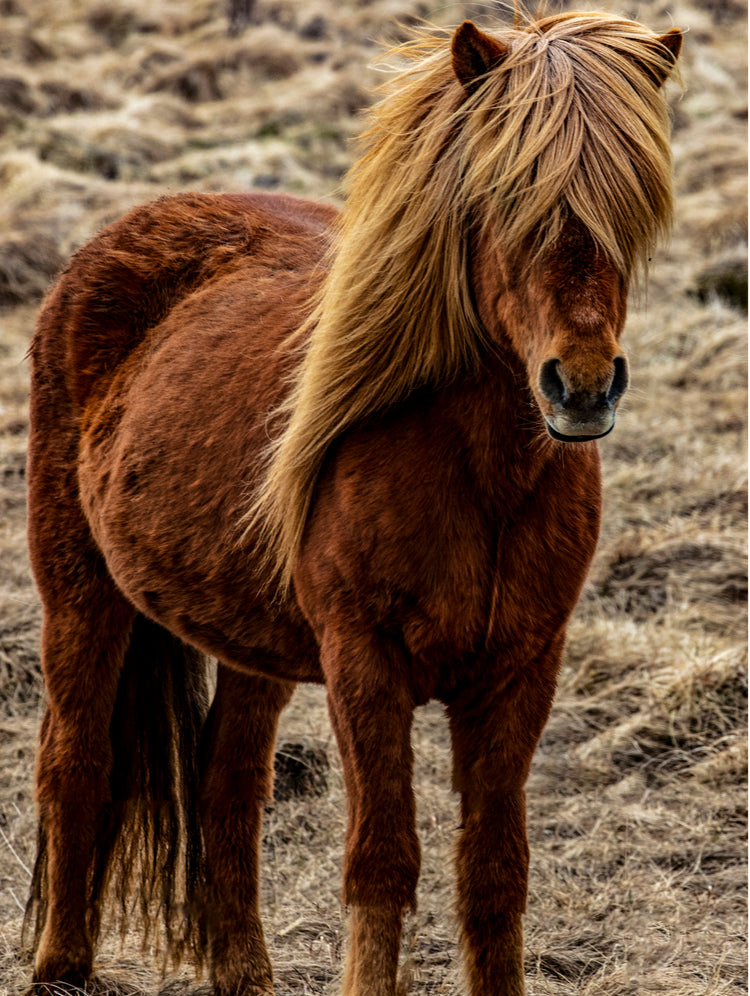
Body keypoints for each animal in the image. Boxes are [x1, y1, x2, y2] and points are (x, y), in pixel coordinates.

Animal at [24, 11, 681, 996]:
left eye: (630, 213)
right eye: (504, 204)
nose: (582, 388)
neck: (479, 477)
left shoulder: (522, 671)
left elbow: (494, 873)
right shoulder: (365, 664)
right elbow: (382, 862)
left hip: (246, 637)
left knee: (227, 786)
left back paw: (243, 974)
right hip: (80, 593)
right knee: (78, 761)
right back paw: (60, 966)